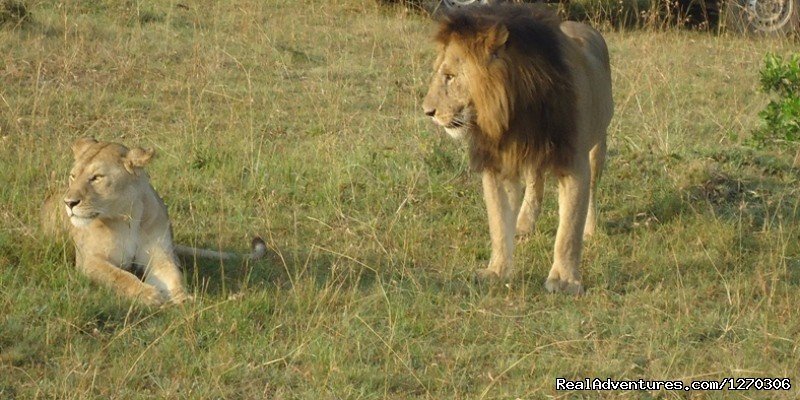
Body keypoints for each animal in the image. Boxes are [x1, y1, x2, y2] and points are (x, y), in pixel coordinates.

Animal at [45, 138, 266, 306]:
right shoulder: (89, 260)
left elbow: (174, 277)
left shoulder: (159, 256)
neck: (128, 216)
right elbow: (120, 276)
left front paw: (184, 298)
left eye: (96, 177)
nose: (69, 203)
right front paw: (148, 295)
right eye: (73, 176)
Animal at [424, 3, 612, 294]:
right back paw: (524, 224)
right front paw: (496, 271)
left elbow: (569, 229)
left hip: (598, 143)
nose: (427, 112)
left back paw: (590, 228)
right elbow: (499, 224)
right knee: (535, 183)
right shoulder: (498, 165)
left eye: (449, 77)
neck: (515, 112)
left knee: (591, 190)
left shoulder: (574, 162)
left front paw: (564, 281)